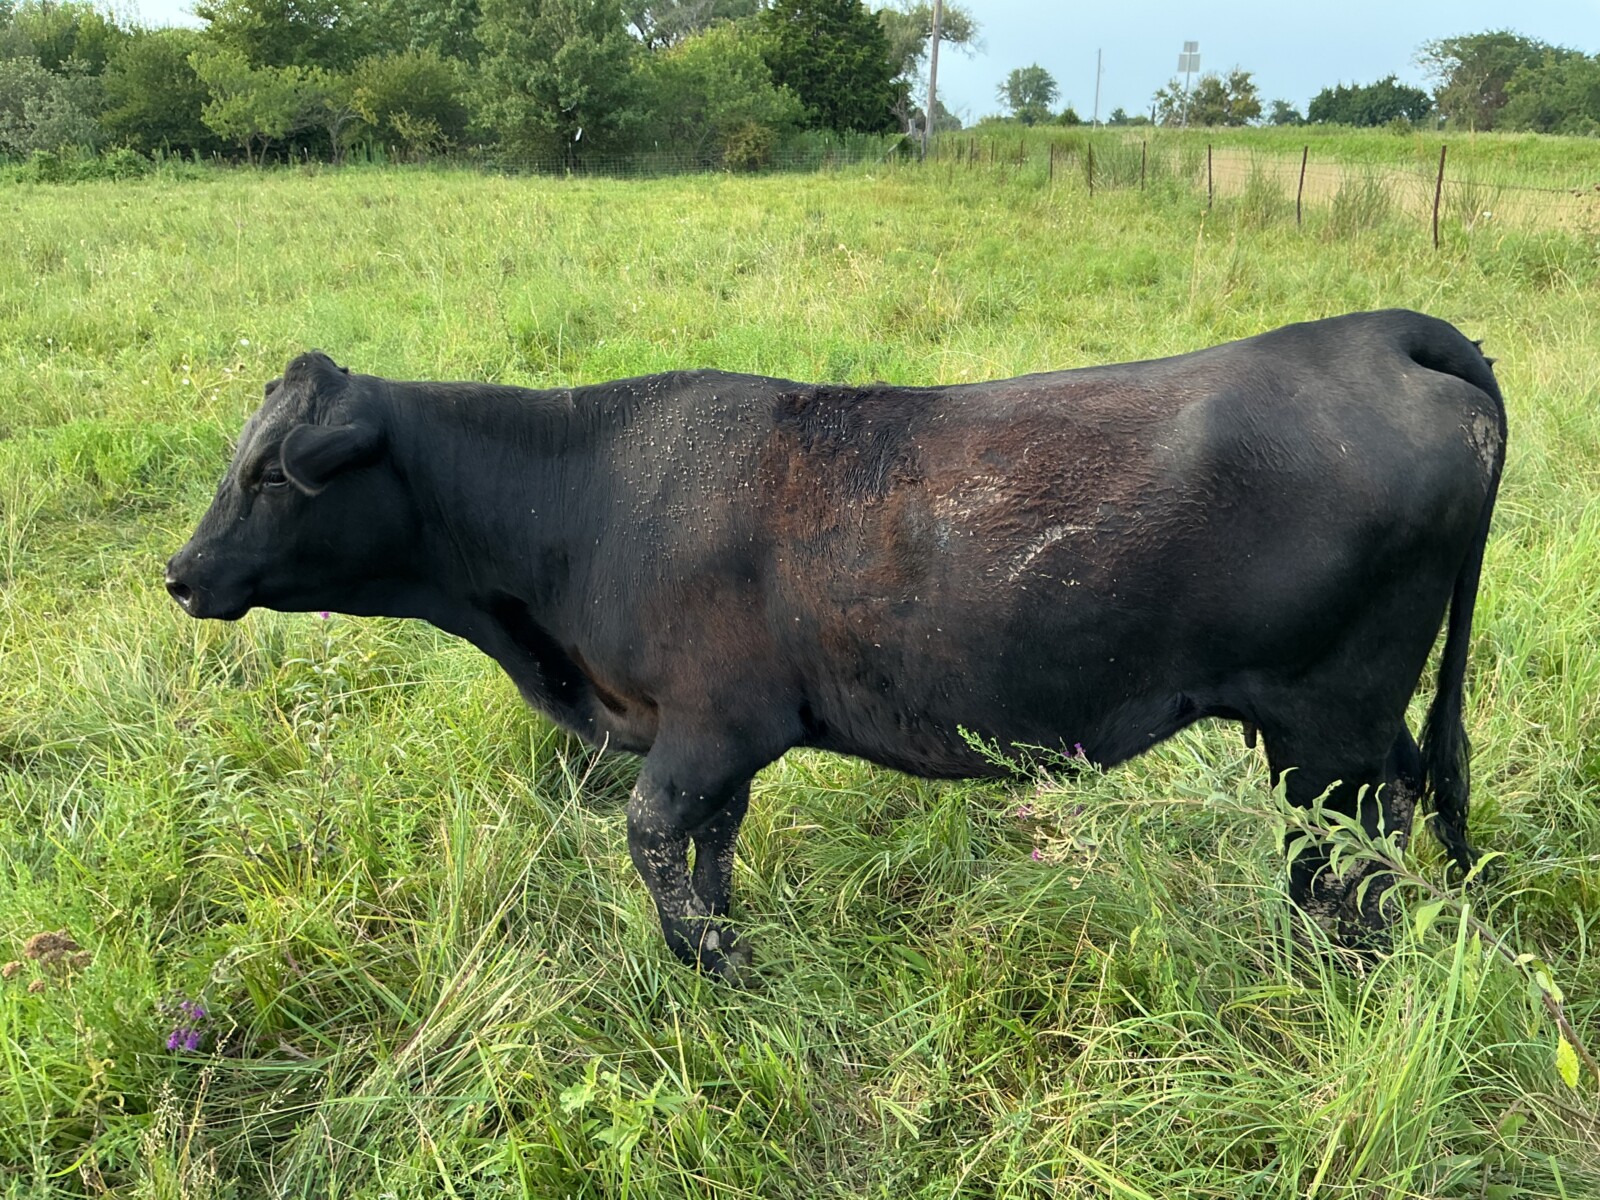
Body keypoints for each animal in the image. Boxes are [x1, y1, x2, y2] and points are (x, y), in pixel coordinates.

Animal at [166, 310, 1506, 980]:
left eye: (271, 474)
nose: (180, 575)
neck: (585, 502)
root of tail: (1369, 332)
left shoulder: (709, 722)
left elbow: (651, 837)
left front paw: (712, 965)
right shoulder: (721, 740)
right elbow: (707, 844)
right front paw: (720, 944)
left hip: (1323, 718)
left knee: (1346, 848)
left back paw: (1329, 966)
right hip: (1352, 719)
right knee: (1377, 818)